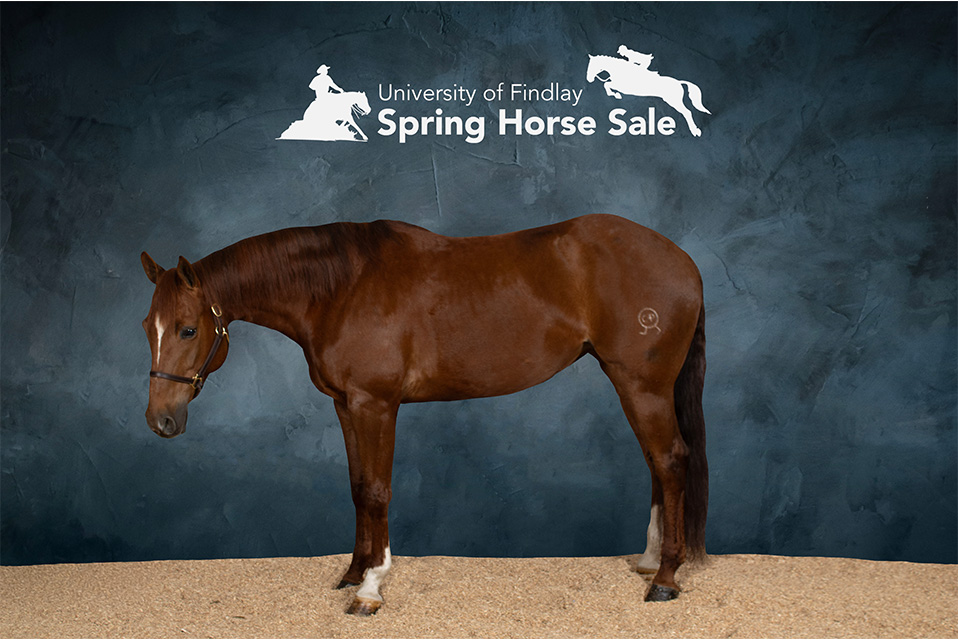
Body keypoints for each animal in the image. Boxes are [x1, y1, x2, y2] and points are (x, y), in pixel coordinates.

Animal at [140, 214, 708, 615]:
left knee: (670, 461)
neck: (340, 289)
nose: (159, 421)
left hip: (642, 386)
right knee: (657, 464)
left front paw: (370, 588)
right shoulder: (345, 405)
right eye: (149, 326)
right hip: (637, 386)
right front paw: (353, 572)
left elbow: (377, 490)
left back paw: (665, 580)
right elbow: (357, 488)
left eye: (188, 329)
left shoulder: (376, 404)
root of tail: (683, 259)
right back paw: (650, 561)